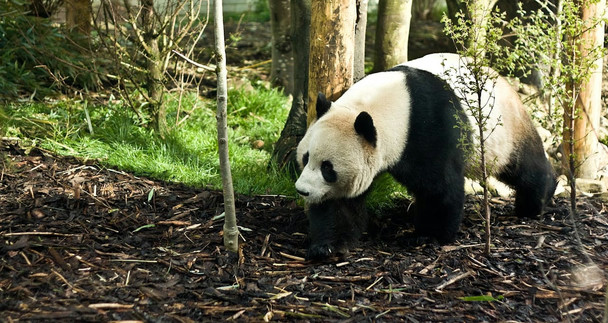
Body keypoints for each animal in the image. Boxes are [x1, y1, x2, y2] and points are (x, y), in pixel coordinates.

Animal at [296, 53, 560, 260]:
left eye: (328, 168)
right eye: (306, 158)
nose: (302, 190)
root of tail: (504, 81)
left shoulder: (429, 128)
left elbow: (439, 187)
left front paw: (429, 235)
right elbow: (339, 203)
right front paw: (327, 246)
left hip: (504, 130)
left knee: (522, 166)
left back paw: (536, 201)